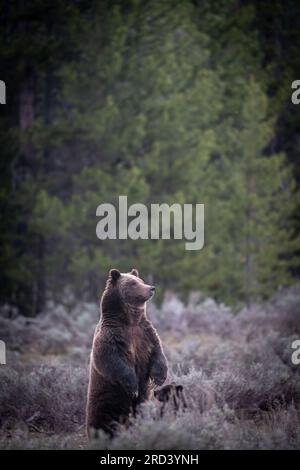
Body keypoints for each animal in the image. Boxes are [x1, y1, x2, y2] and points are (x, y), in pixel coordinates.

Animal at [86, 268, 169, 436]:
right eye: (133, 283)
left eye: (141, 280)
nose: (151, 288)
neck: (130, 322)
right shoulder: (111, 337)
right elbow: (112, 360)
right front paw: (132, 386)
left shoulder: (146, 334)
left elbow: (157, 352)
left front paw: (159, 378)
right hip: (104, 398)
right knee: (100, 417)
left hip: (140, 402)